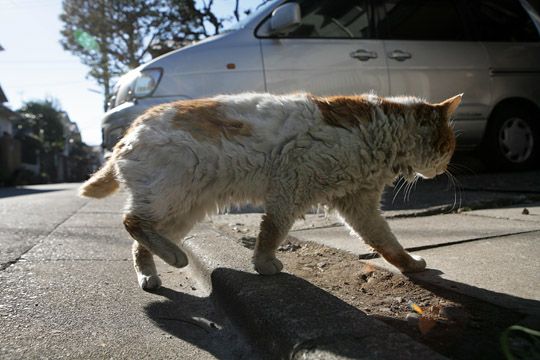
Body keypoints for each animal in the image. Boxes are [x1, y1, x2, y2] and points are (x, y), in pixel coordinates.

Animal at [79, 92, 460, 290]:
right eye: (448, 146)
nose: (446, 167)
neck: (379, 133)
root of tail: (127, 134)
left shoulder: (358, 203)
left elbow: (385, 240)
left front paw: (411, 265)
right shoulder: (291, 185)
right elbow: (273, 230)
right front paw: (263, 264)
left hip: (183, 210)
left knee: (139, 241)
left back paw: (152, 274)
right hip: (171, 193)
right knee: (132, 222)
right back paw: (175, 258)